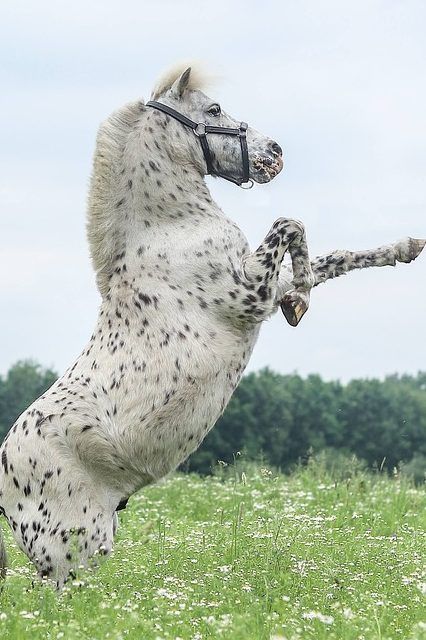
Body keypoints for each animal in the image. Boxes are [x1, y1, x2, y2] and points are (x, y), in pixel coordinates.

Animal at [0, 63, 424, 587]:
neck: (171, 230)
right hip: (73, 552)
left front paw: (402, 248)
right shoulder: (250, 296)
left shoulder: (262, 288)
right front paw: (303, 294)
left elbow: (332, 255)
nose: (276, 151)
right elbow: (290, 225)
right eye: (215, 109)